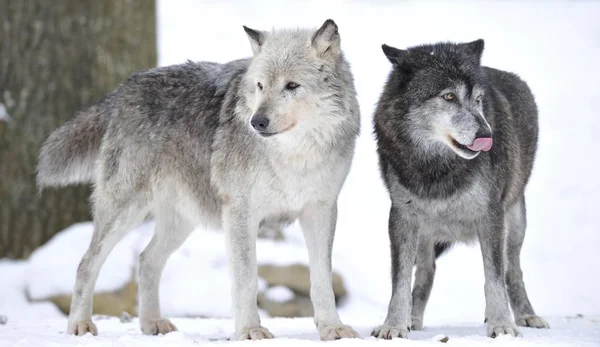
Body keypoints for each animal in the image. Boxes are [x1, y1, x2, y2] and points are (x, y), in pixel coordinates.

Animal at [37, 19, 360, 342]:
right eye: (260, 86)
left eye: (292, 86)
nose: (257, 122)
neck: (294, 157)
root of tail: (122, 89)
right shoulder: (240, 214)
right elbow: (247, 279)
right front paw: (250, 330)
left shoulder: (321, 211)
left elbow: (322, 279)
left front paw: (332, 327)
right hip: (125, 211)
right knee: (86, 263)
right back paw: (80, 325)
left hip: (182, 220)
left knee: (146, 260)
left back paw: (152, 323)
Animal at [370, 38, 548, 340]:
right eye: (449, 97)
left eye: (478, 100)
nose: (487, 136)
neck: (438, 167)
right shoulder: (401, 218)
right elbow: (400, 281)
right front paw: (394, 325)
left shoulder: (491, 216)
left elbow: (494, 277)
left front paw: (501, 325)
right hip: (426, 232)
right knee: (426, 272)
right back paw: (413, 318)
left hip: (515, 222)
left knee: (512, 271)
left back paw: (526, 315)